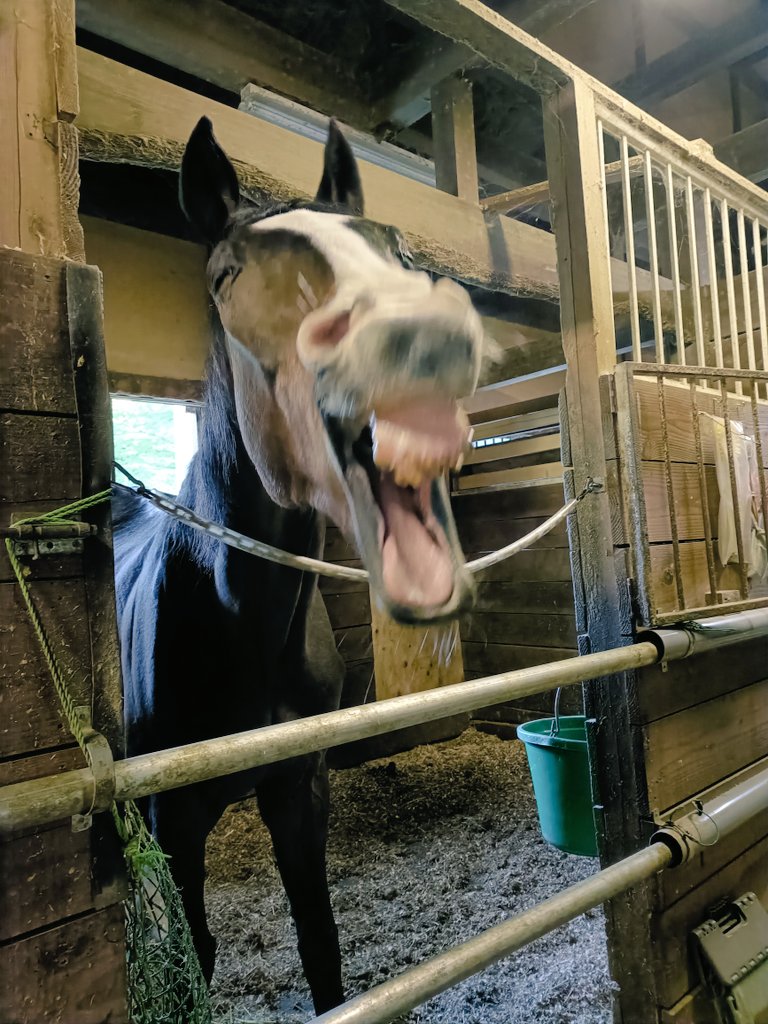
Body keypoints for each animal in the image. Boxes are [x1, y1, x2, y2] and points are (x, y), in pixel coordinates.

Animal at [113, 116, 485, 1014]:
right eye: (227, 274)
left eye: (395, 246)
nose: (421, 336)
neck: (238, 623)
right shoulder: (172, 825)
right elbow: (198, 957)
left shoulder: (299, 789)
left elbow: (322, 948)